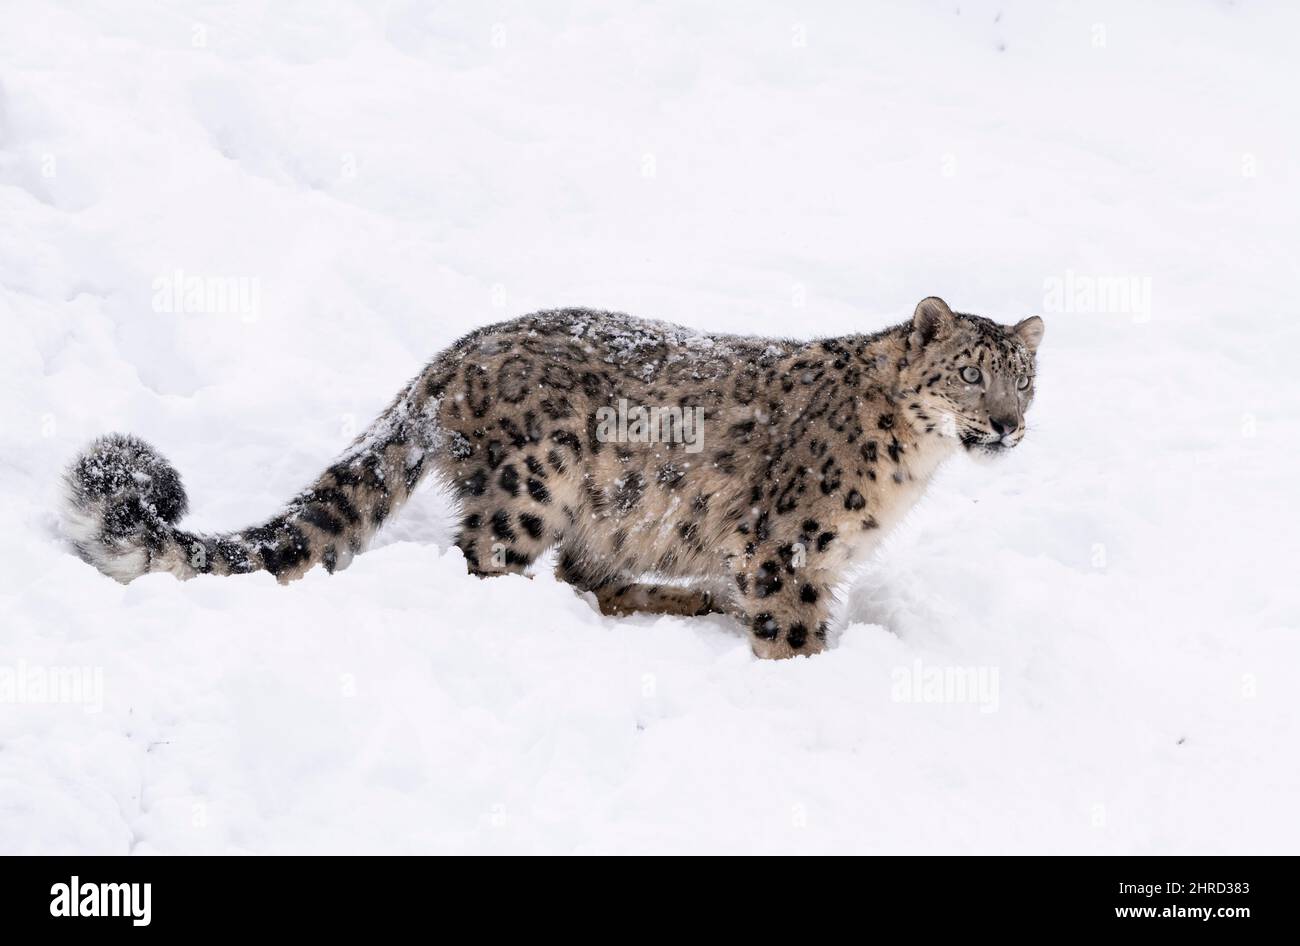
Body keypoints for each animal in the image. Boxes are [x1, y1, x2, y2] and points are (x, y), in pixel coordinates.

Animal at [65, 296, 1045, 657]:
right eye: (968, 372)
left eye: (1024, 377)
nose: (1006, 424)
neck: (910, 469)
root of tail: (450, 357)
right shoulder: (787, 547)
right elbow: (792, 626)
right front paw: (807, 669)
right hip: (532, 488)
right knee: (489, 558)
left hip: (616, 511)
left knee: (590, 571)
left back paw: (688, 600)